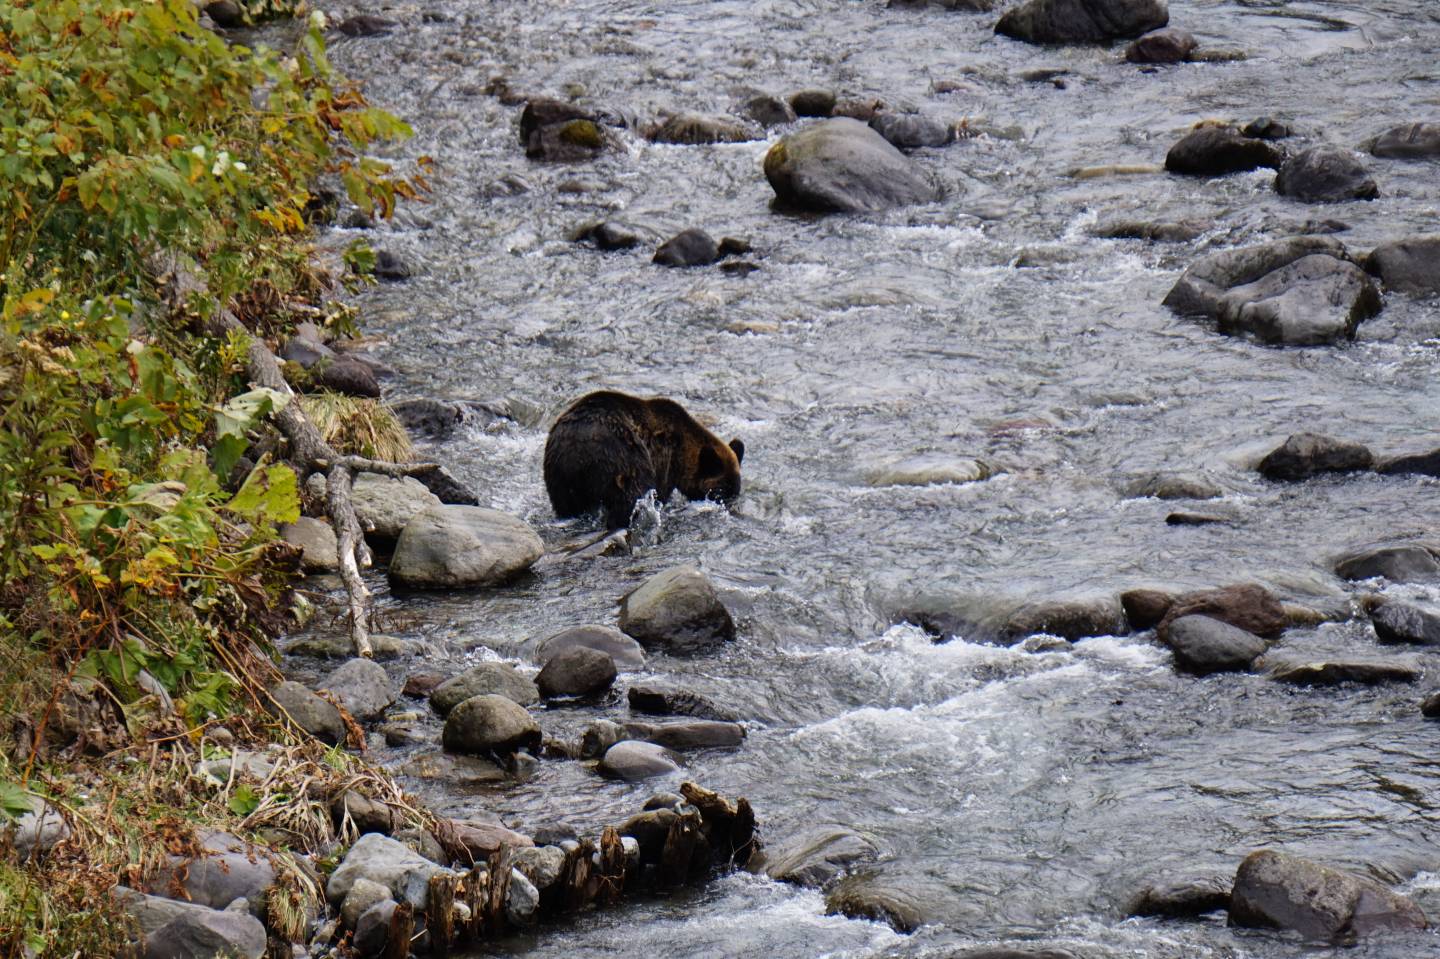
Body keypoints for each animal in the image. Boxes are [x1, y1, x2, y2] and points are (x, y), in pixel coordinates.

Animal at [541, 388, 743, 527]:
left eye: (735, 490)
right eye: (720, 491)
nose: (731, 506)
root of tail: (579, 444)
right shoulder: (663, 463)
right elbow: (659, 493)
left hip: (559, 472)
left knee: (567, 504)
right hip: (623, 459)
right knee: (630, 496)